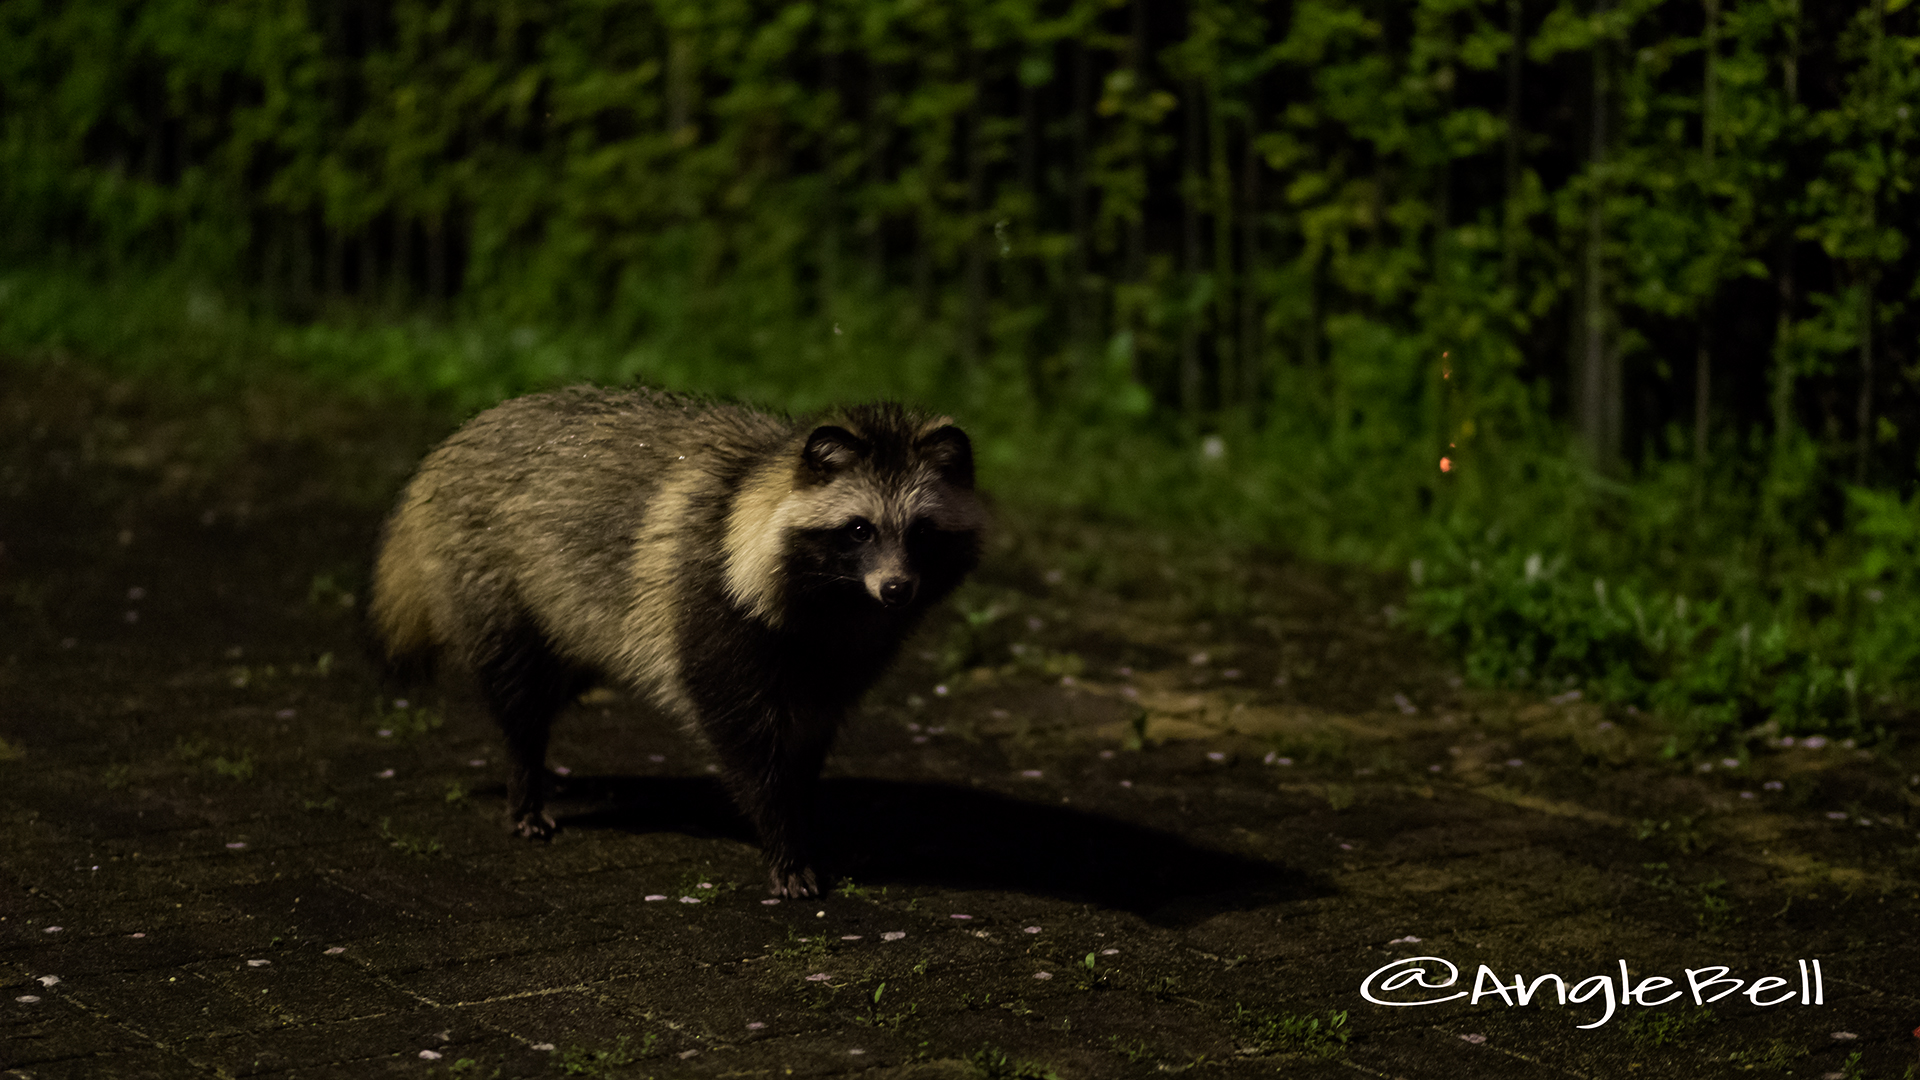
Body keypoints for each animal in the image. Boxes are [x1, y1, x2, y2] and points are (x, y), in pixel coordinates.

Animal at [366, 384, 983, 891]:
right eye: (859, 529)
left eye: (922, 532)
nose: (897, 588)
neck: (837, 603)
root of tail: (453, 443)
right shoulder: (711, 606)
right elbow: (743, 739)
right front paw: (783, 839)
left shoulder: (838, 657)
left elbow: (810, 734)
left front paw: (803, 818)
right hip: (492, 575)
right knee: (520, 693)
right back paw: (524, 780)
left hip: (572, 617)